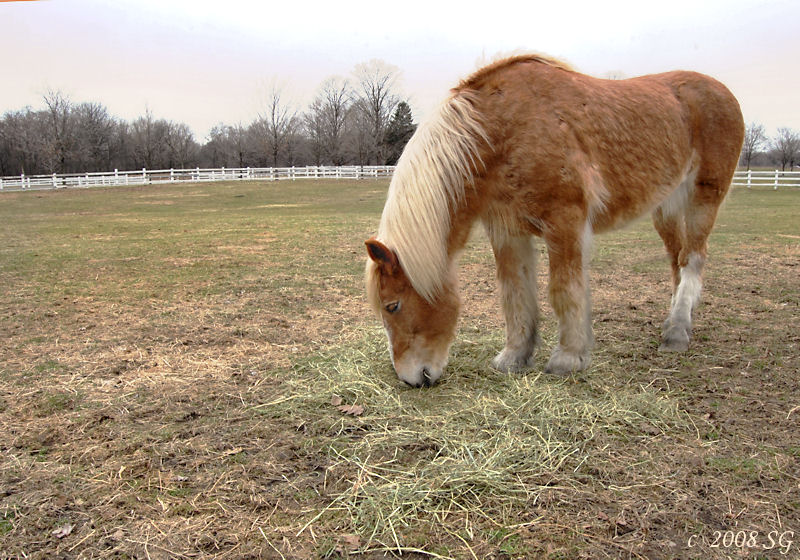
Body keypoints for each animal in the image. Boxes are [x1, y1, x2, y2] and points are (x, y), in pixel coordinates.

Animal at [366, 55, 748, 390]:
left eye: (392, 305)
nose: (411, 378)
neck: (502, 130)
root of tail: (722, 92)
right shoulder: (507, 231)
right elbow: (515, 293)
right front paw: (515, 357)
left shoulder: (566, 223)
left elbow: (564, 289)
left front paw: (568, 358)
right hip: (665, 209)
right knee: (677, 261)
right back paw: (675, 322)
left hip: (703, 199)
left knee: (693, 258)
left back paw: (677, 333)